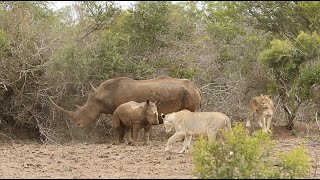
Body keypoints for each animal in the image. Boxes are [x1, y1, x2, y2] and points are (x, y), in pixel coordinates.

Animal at [48, 76, 201, 127]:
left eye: (85, 111)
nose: (78, 125)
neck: (101, 96)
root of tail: (197, 88)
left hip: (189, 94)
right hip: (188, 93)